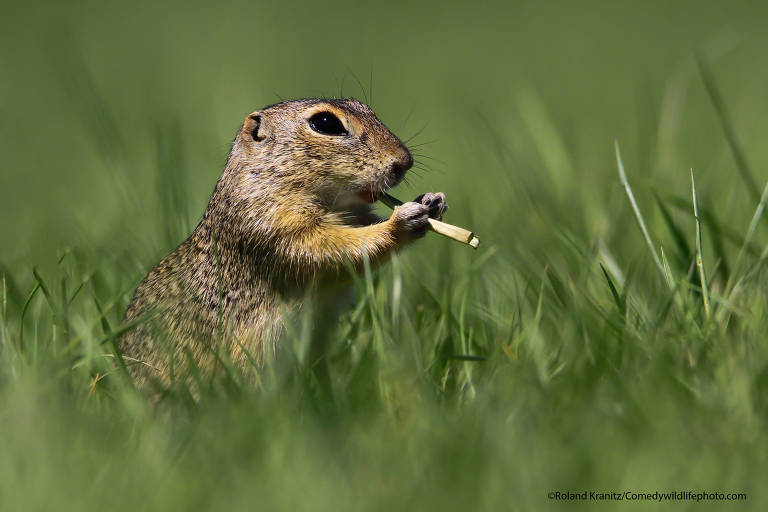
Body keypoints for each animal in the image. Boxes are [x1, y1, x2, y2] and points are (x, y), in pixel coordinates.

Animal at [118, 98, 448, 386]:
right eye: (326, 123)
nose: (404, 162)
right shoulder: (274, 226)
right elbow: (330, 249)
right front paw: (403, 220)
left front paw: (432, 201)